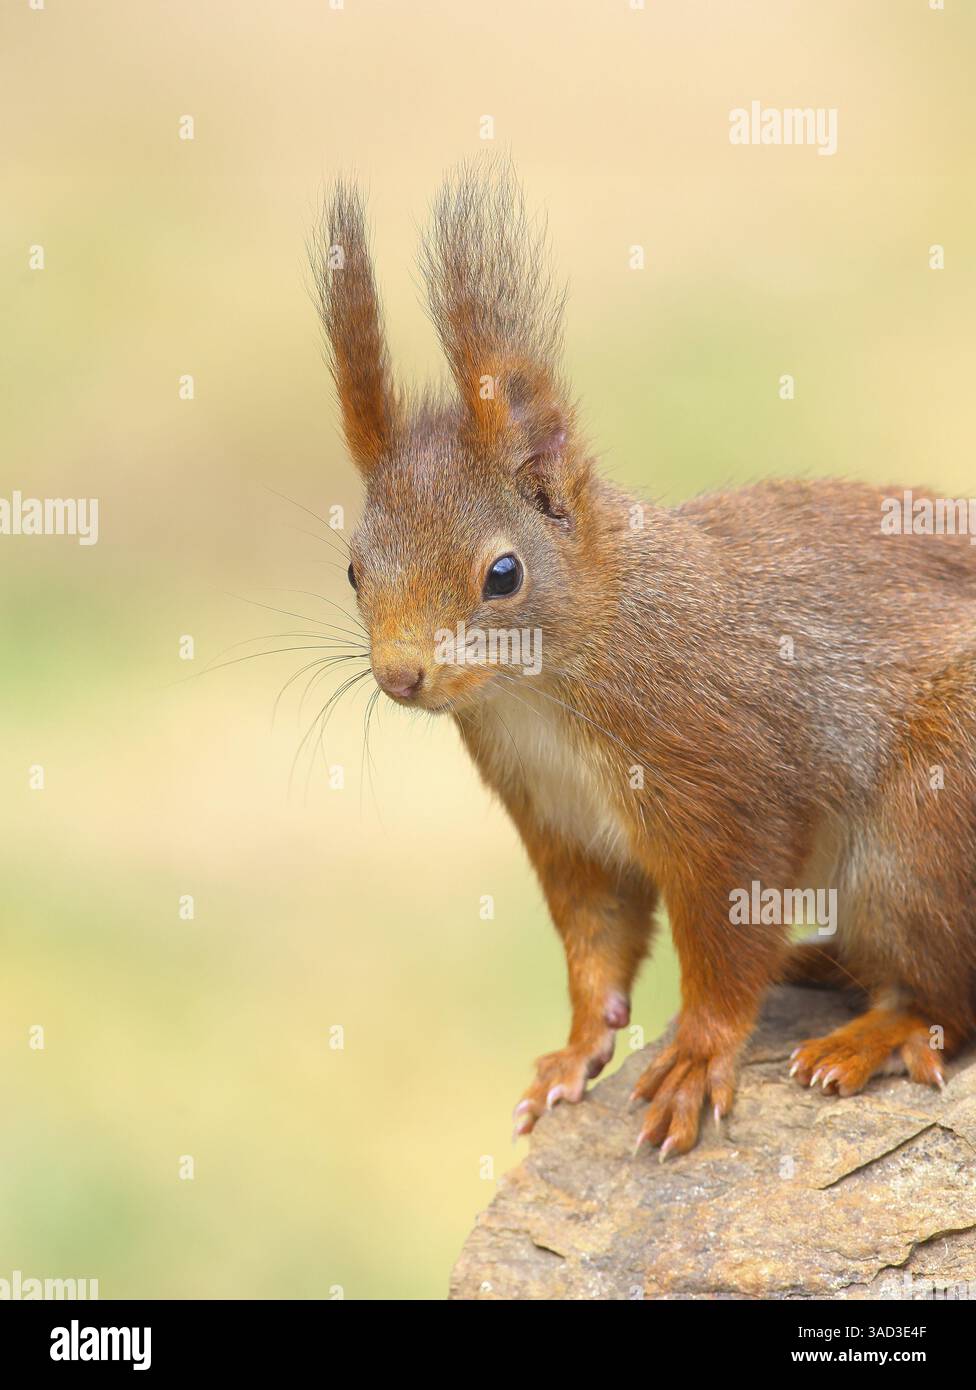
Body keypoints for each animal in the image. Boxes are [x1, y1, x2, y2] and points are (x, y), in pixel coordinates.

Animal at [311, 161, 976, 1158]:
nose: (400, 676)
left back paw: (876, 1032)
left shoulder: (725, 786)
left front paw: (697, 1058)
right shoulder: (559, 821)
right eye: (353, 568)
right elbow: (598, 943)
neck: (540, 692)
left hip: (927, 832)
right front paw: (575, 1051)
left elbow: (726, 944)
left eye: (502, 574)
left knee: (949, 992)